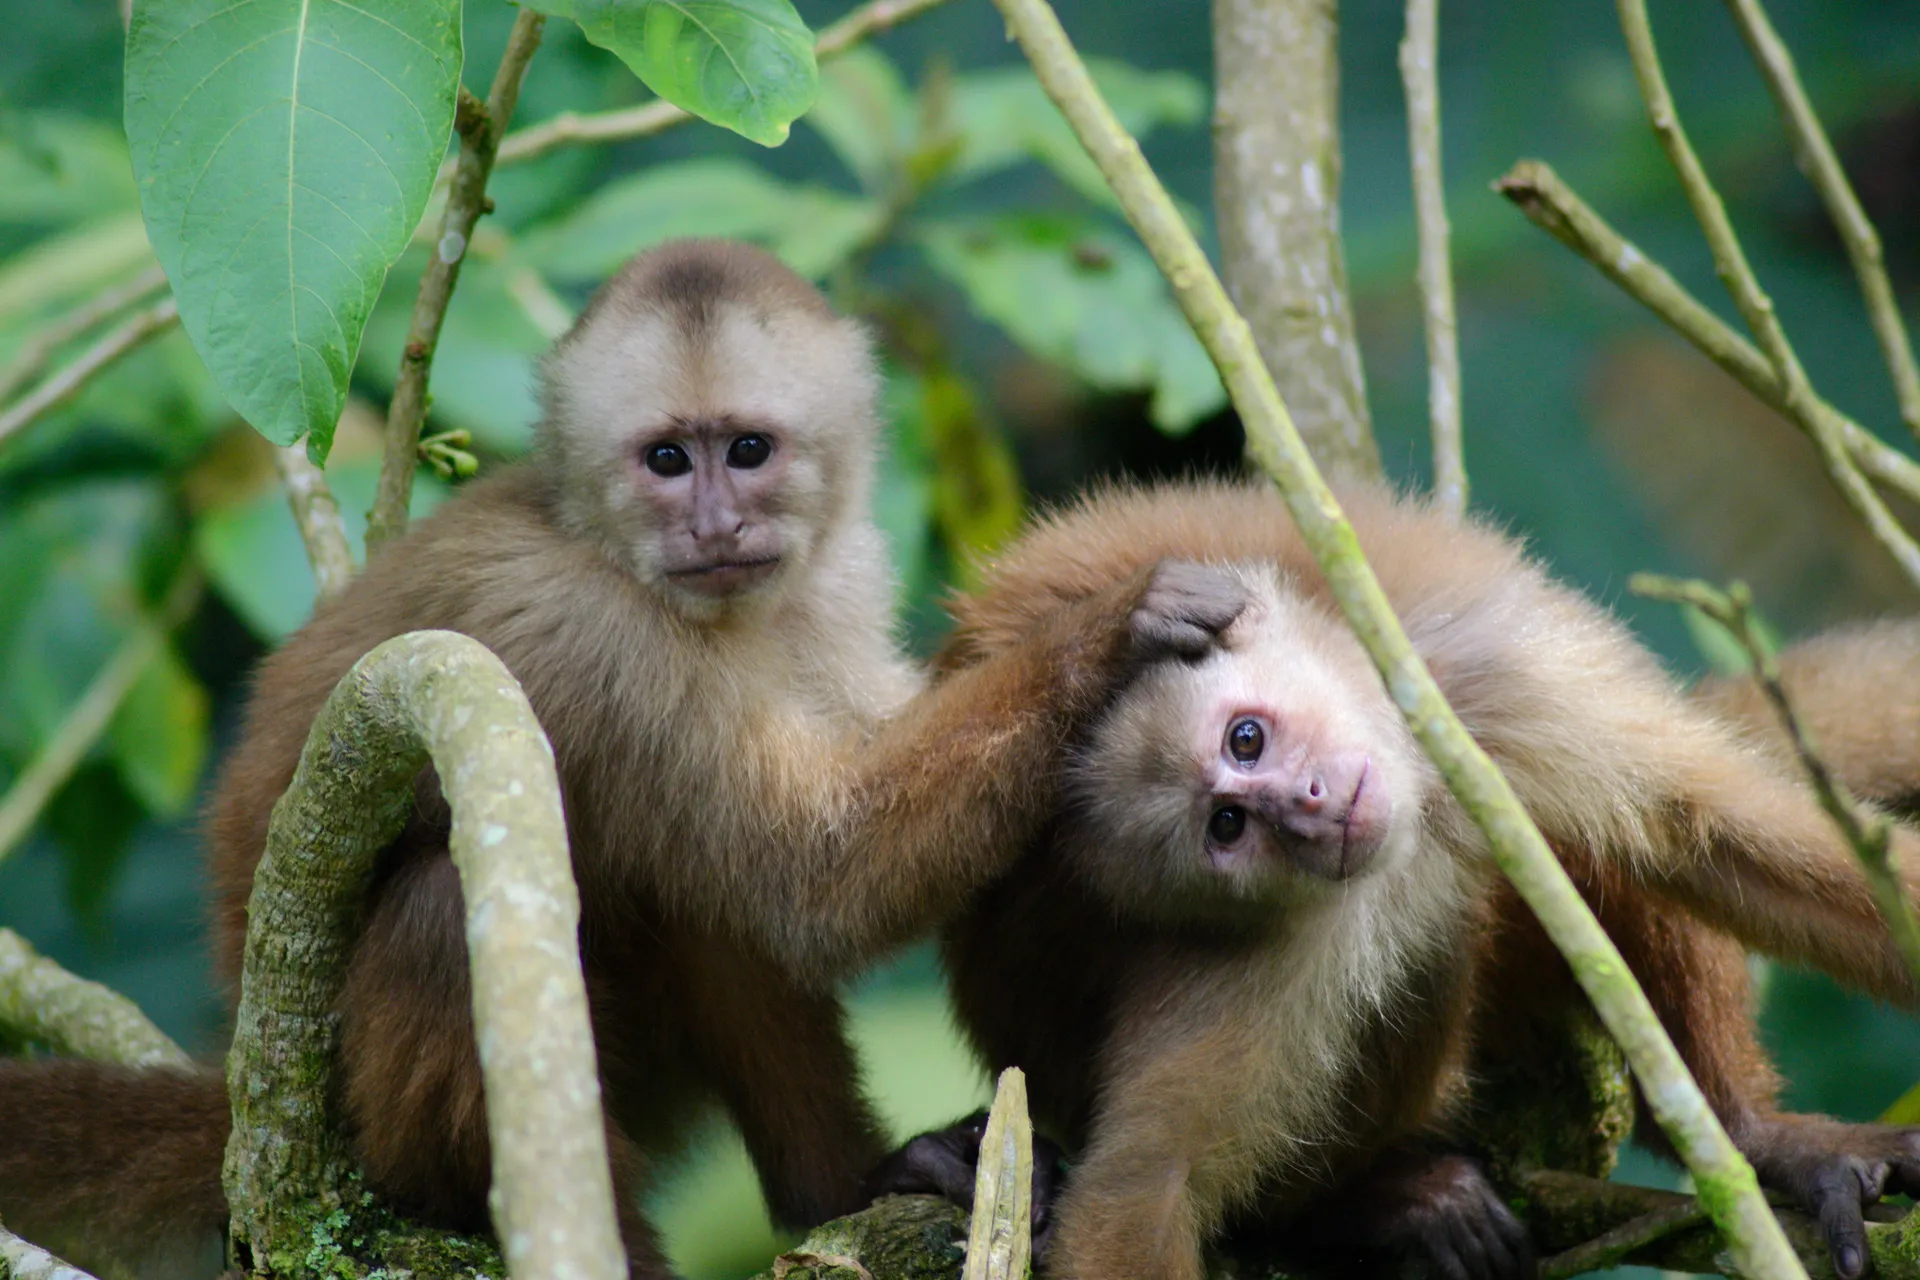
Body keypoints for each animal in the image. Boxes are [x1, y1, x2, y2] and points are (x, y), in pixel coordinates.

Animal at [0, 242, 1248, 1277]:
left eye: (747, 450)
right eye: (665, 459)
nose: (713, 525)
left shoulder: (843, 570)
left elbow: (815, 840)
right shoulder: (599, 638)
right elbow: (820, 884)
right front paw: (1108, 633)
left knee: (702, 900)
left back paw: (837, 1185)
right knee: (456, 905)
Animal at [872, 478, 1920, 1280]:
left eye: (1245, 739)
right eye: (1227, 826)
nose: (1305, 806)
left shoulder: (1487, 678)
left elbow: (1702, 830)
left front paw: (1761, 1138)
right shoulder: (1257, 945)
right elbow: (1149, 1186)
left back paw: (1750, 1136)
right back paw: (1365, 1209)